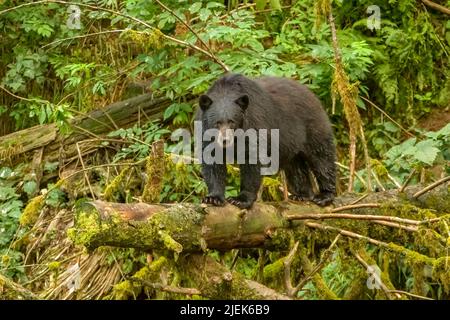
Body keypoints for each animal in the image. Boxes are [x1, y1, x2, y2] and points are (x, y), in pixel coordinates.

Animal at [195, 74, 336, 210]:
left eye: (232, 122)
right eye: (217, 123)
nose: (225, 140)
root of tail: (312, 94)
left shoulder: (254, 125)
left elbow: (252, 161)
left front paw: (241, 199)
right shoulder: (205, 134)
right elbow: (212, 162)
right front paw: (213, 198)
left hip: (312, 128)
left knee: (322, 158)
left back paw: (324, 195)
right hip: (291, 143)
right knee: (295, 166)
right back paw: (302, 194)